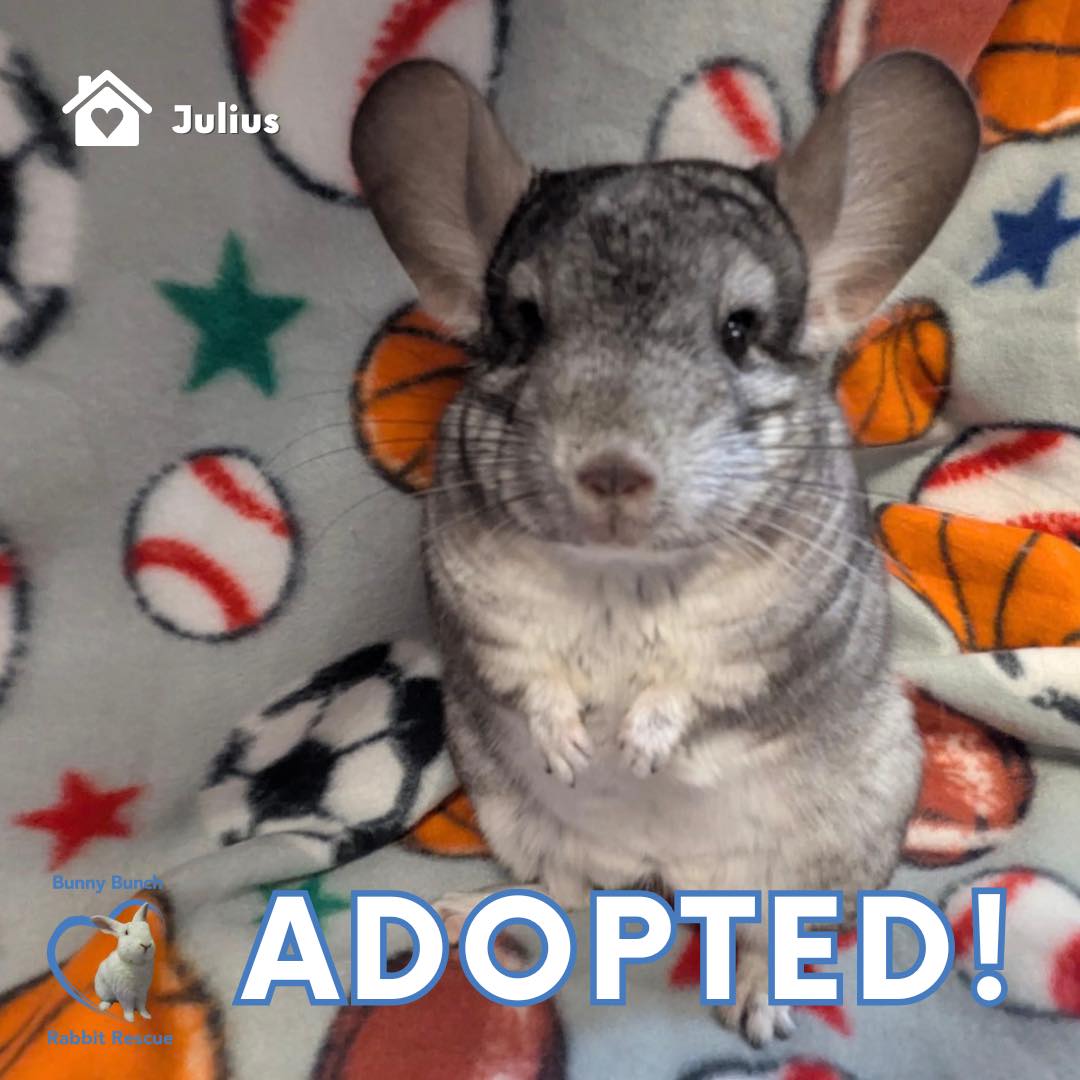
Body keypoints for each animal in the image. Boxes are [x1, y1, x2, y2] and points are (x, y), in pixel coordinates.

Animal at [352, 54, 977, 1045]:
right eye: (527, 321)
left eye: (740, 328)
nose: (612, 472)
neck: (625, 575)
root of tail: (663, 873)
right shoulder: (480, 604)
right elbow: (529, 670)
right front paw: (574, 745)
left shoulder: (773, 630)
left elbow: (698, 681)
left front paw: (639, 746)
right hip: (510, 813)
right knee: (559, 898)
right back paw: (459, 921)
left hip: (830, 854)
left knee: (765, 933)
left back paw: (757, 1003)